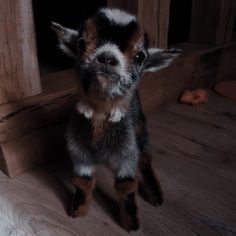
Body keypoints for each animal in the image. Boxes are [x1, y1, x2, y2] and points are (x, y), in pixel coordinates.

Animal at [52, 8, 179, 231]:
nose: (107, 58)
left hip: (140, 128)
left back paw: (154, 193)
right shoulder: (78, 151)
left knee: (145, 157)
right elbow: (83, 181)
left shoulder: (126, 153)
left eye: (140, 56)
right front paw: (79, 209)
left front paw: (130, 222)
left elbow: (126, 187)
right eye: (81, 44)